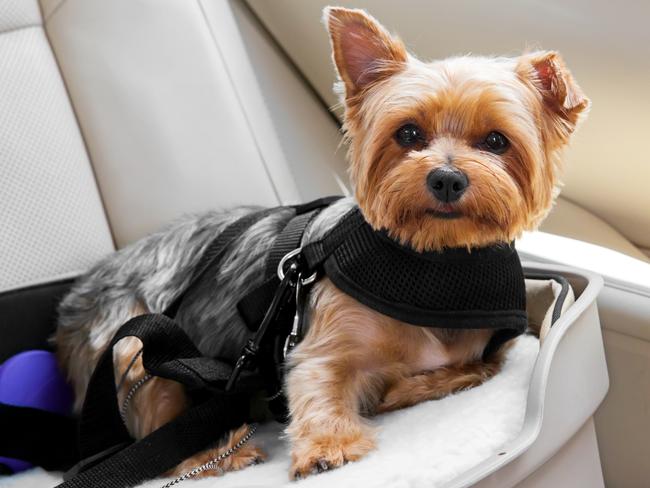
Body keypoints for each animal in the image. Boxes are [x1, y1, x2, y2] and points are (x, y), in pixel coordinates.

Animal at [54, 4, 588, 480]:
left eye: (497, 141)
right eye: (408, 133)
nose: (446, 179)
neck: (430, 260)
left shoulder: (483, 346)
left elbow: (479, 367)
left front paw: (404, 390)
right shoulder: (321, 342)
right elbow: (319, 380)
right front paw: (329, 445)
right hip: (129, 347)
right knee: (156, 439)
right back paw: (222, 454)